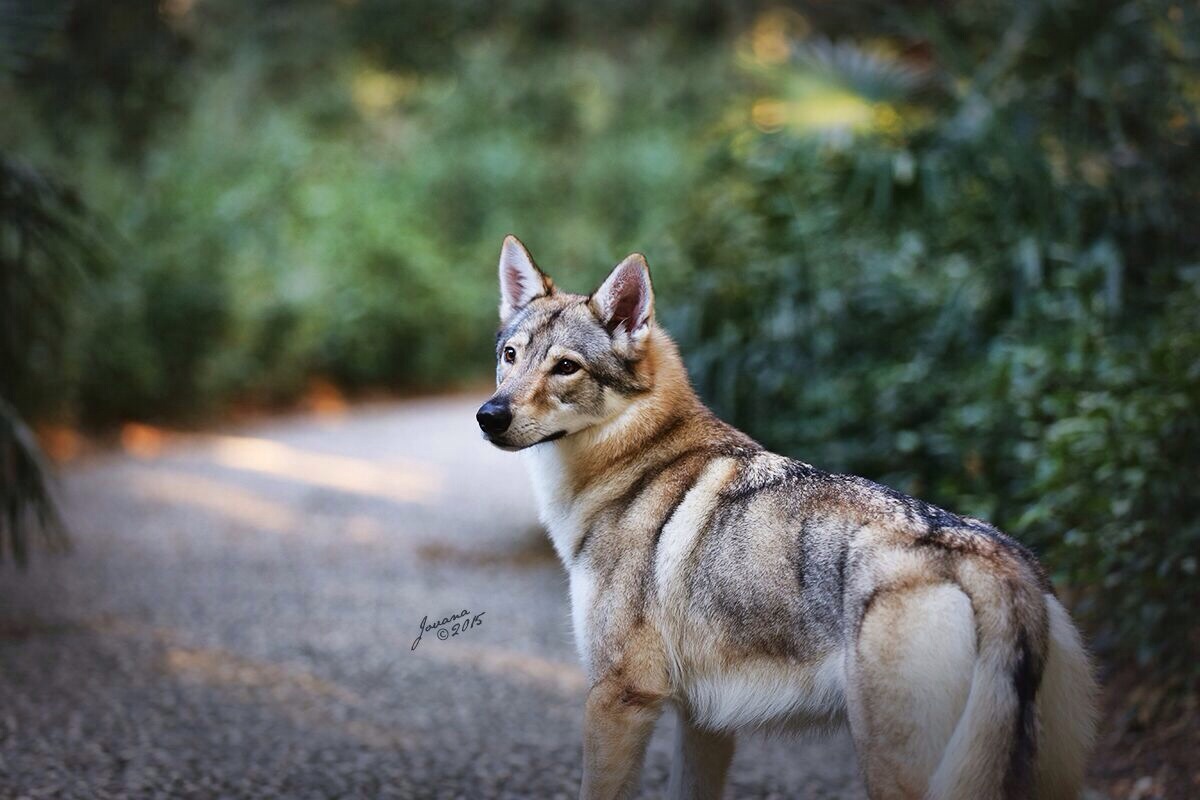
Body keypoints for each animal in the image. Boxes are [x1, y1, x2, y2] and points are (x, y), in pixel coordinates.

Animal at [475, 235, 1099, 796]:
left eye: (566, 368)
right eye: (511, 356)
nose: (489, 416)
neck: (635, 460)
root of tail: (996, 565)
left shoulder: (618, 699)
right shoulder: (703, 721)